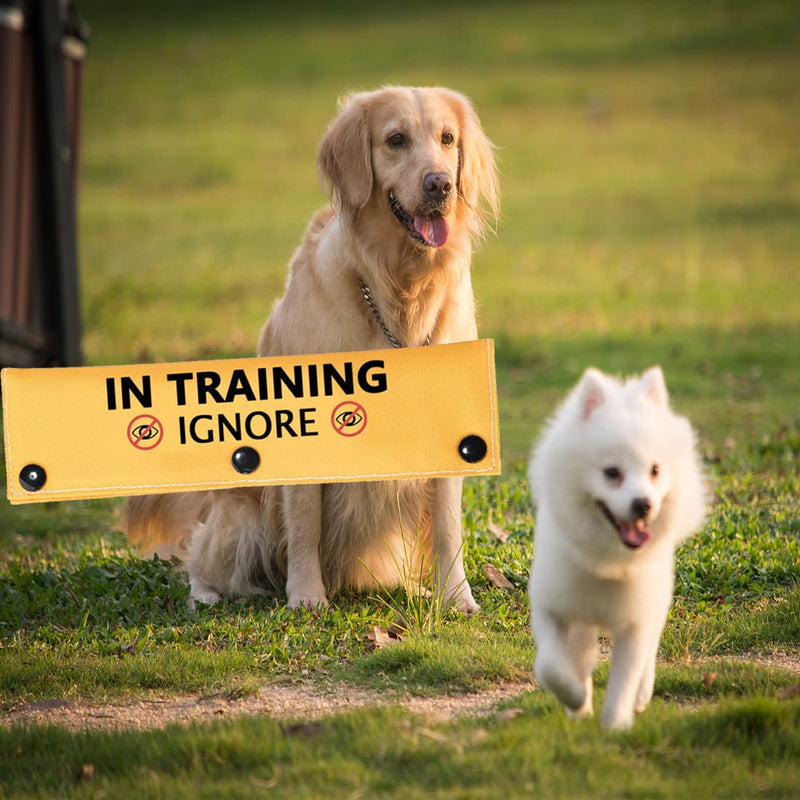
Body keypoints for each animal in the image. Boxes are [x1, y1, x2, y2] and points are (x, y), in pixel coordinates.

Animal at [532, 366, 708, 728]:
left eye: (655, 470)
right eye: (611, 472)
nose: (643, 504)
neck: (607, 562)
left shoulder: (635, 622)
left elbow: (625, 680)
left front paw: (615, 727)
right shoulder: (550, 606)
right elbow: (551, 666)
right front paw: (575, 697)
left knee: (650, 652)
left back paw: (642, 695)